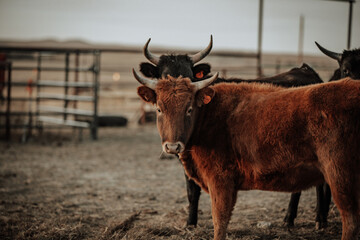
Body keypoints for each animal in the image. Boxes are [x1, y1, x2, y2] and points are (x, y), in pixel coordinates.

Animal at [134, 71, 360, 240]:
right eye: (159, 109)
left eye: (189, 109)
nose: (172, 146)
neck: (209, 116)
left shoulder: (220, 180)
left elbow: (220, 220)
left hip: (340, 176)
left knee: (350, 220)